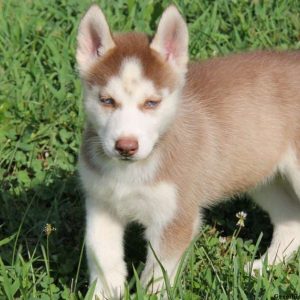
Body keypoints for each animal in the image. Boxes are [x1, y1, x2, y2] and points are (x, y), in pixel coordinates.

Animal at [76, 3, 300, 298]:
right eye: (107, 101)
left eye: (151, 103)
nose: (126, 146)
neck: (132, 171)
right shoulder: (102, 205)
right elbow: (102, 257)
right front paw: (103, 293)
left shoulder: (175, 219)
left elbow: (156, 276)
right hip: (261, 175)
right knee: (291, 221)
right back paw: (261, 268)